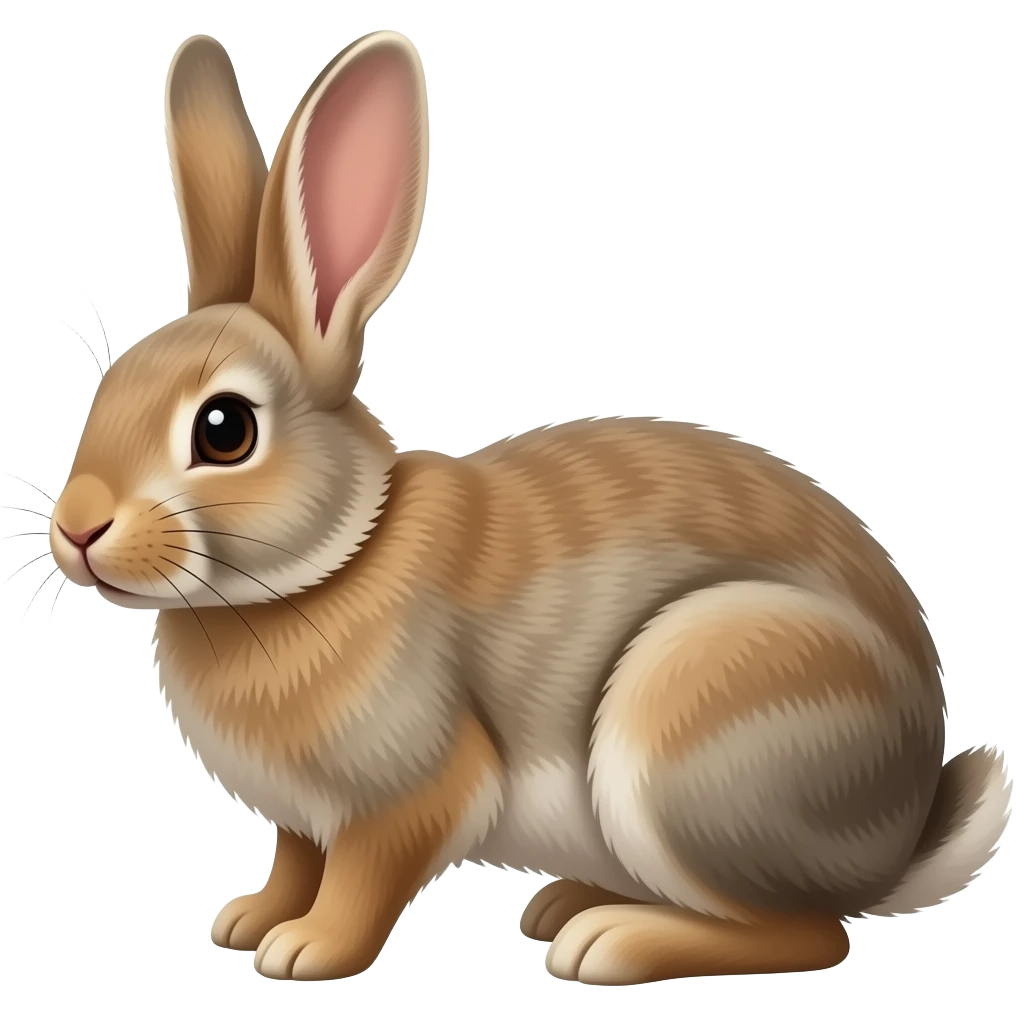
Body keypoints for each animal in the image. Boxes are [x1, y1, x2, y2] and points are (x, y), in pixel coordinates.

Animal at [49, 30, 1012, 986]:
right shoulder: (300, 819)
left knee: (811, 933)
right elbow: (295, 859)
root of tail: (904, 830)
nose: (76, 530)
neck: (336, 560)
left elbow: (363, 878)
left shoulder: (410, 794)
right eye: (108, 387)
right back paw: (567, 905)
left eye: (224, 429)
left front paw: (306, 950)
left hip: (695, 724)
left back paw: (610, 941)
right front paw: (247, 920)